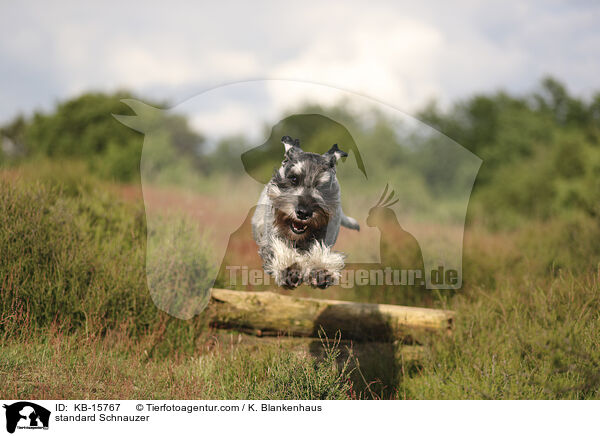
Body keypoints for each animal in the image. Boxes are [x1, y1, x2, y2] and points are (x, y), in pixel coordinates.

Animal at [251, 135, 358, 288]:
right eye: (293, 178)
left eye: (323, 186)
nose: (303, 213)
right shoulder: (272, 239)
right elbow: (279, 250)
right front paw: (289, 267)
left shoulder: (324, 240)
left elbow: (320, 252)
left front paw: (321, 270)